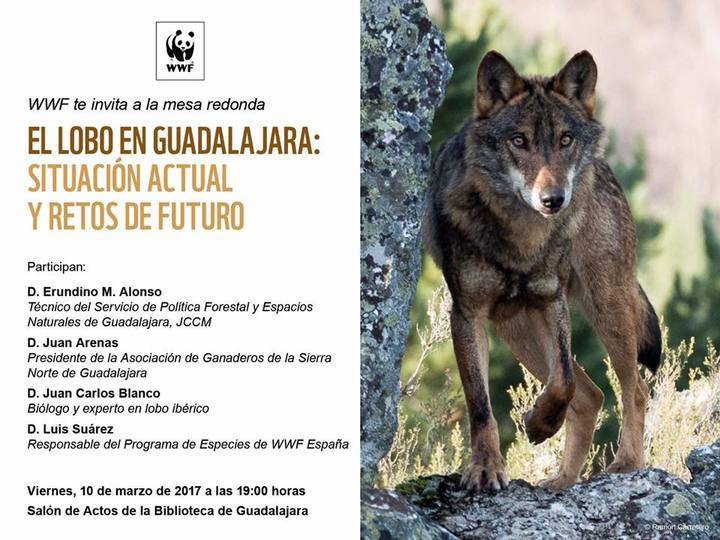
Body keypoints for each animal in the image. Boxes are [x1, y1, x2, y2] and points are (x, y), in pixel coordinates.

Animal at [423, 50, 662, 490]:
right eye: (519, 141)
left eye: (565, 140)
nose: (554, 199)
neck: (521, 240)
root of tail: (603, 166)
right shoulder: (466, 315)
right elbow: (480, 405)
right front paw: (486, 468)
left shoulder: (553, 300)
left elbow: (563, 379)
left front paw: (538, 424)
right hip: (517, 331)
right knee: (593, 396)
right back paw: (563, 481)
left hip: (607, 307)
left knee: (632, 388)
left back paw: (627, 463)